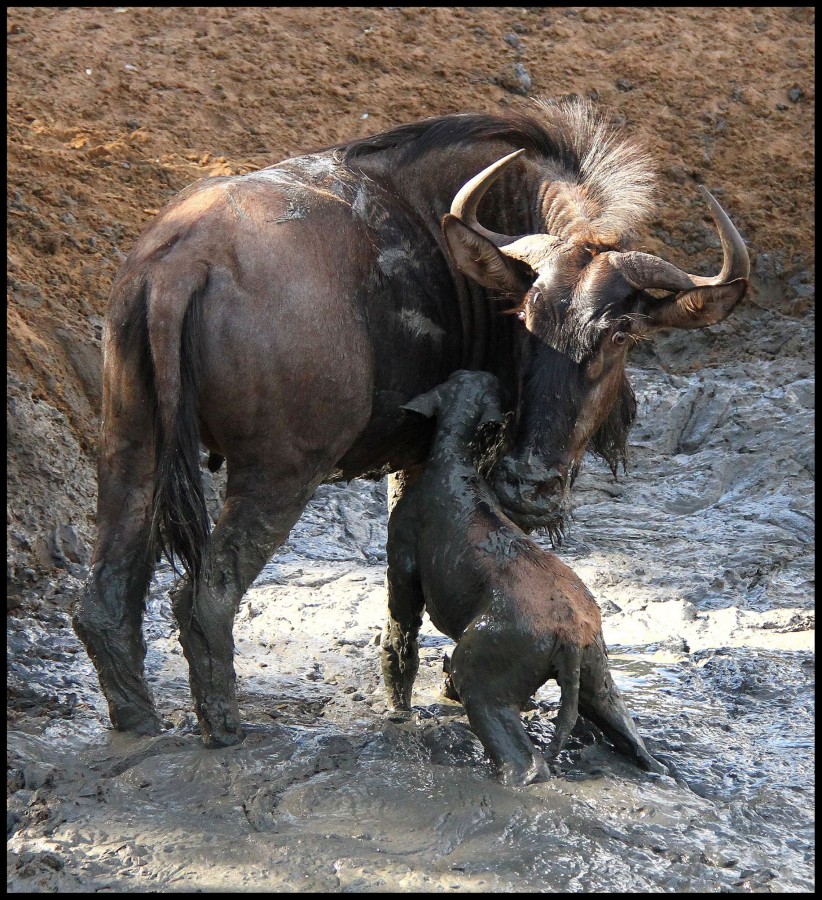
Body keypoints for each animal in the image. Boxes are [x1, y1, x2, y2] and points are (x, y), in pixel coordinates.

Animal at [384, 370, 672, 784]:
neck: (455, 458)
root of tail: (570, 635)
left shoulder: (403, 554)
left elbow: (401, 627)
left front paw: (398, 707)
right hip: (596, 671)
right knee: (628, 731)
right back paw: (655, 768)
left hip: (484, 668)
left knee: (526, 761)